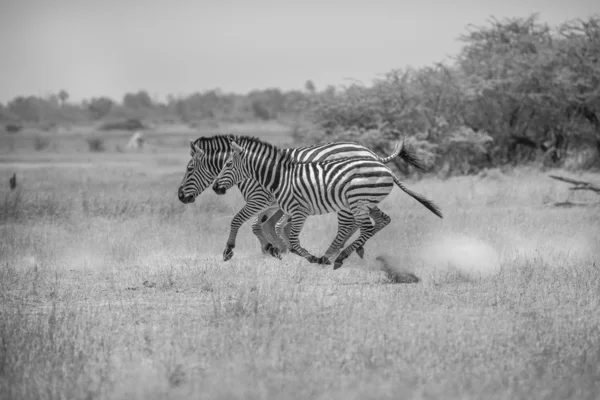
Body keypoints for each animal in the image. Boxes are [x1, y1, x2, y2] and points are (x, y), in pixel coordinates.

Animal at [176, 134, 428, 262]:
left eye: (189, 168)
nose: (180, 196)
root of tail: (369, 152)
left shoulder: (260, 199)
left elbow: (245, 222)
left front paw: (235, 250)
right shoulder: (273, 203)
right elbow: (263, 226)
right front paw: (275, 248)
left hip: (347, 199)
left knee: (351, 223)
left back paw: (337, 252)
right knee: (369, 221)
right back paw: (352, 250)